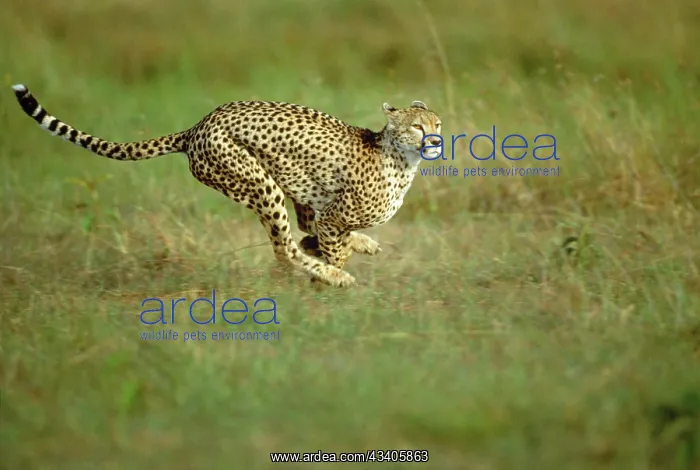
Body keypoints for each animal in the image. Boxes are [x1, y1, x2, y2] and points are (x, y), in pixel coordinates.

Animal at [11, 83, 442, 287]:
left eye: (437, 124)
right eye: (417, 127)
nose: (436, 140)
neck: (400, 158)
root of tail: (197, 126)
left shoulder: (322, 206)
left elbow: (322, 232)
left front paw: (350, 248)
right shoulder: (332, 216)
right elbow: (330, 245)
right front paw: (329, 275)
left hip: (279, 178)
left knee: (296, 231)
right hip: (259, 183)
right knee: (283, 248)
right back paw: (331, 274)